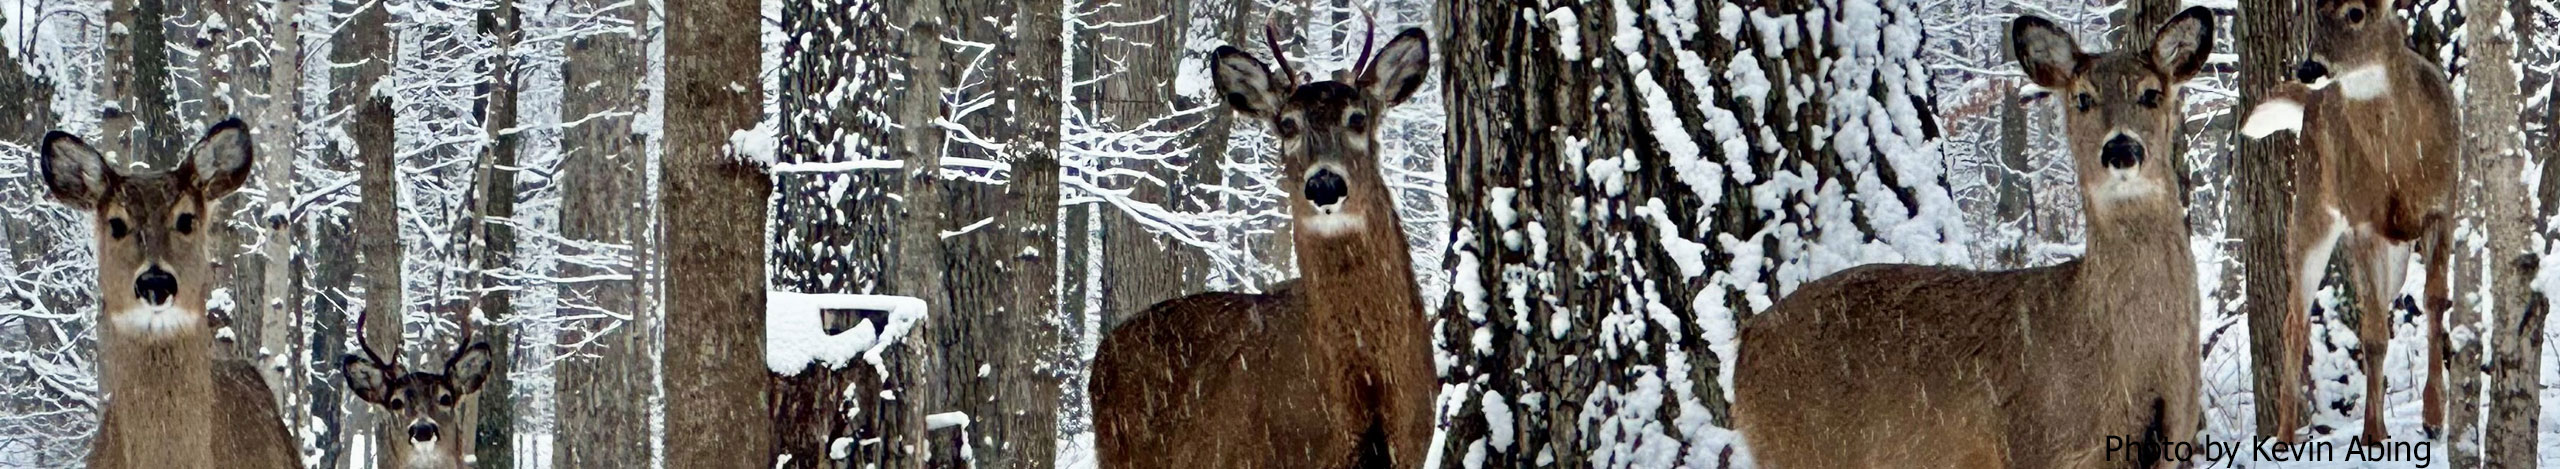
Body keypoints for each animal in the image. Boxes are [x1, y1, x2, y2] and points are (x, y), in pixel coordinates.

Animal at [1731, 8, 2214, 468]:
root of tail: (1746, 340)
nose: (2121, 149)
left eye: (2151, 93)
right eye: (2082, 98)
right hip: (1799, 448)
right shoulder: (2032, 443)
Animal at [2236, 0, 2460, 443]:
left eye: (2355, 13)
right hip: (2312, 210)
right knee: (2295, 322)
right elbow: (2372, 334)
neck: (2400, 162)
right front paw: (2374, 432)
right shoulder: (2363, 222)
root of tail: (2308, 105)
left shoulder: (2443, 207)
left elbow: (2434, 301)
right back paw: (2284, 436)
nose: (2309, 67)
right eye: (2314, 10)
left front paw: (2434, 417)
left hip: (2395, 251)